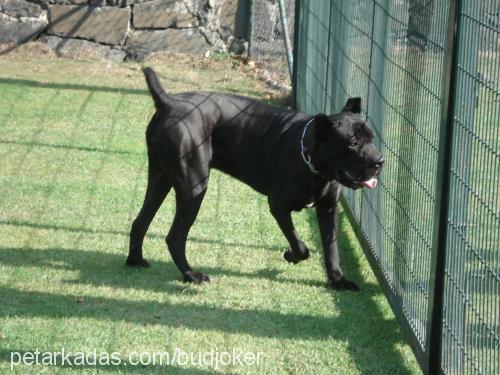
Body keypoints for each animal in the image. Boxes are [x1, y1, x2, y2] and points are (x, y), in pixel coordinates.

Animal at [126, 67, 382, 290]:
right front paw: (291, 255)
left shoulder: (328, 207)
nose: (380, 161)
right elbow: (300, 245)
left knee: (140, 221)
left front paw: (338, 280)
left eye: (371, 137)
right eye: (352, 143)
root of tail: (168, 102)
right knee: (175, 237)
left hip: (160, 178)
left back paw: (135, 260)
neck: (312, 162)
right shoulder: (278, 206)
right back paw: (192, 275)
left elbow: (331, 247)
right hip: (193, 187)